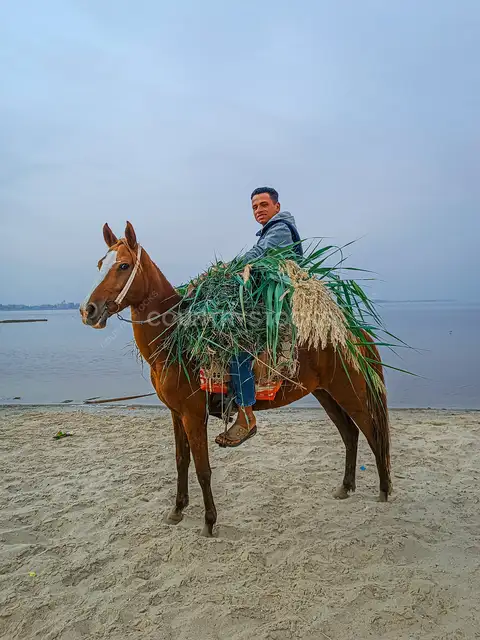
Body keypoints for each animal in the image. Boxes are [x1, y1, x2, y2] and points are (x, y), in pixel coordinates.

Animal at [80, 221, 392, 537]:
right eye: (100, 264)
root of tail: (351, 331)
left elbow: (203, 469)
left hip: (351, 393)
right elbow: (181, 462)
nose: (88, 310)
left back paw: (384, 490)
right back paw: (346, 487)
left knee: (372, 433)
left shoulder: (194, 415)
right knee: (350, 434)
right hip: (326, 394)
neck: (174, 343)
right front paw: (178, 510)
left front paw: (209, 522)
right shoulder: (176, 413)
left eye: (123, 265)